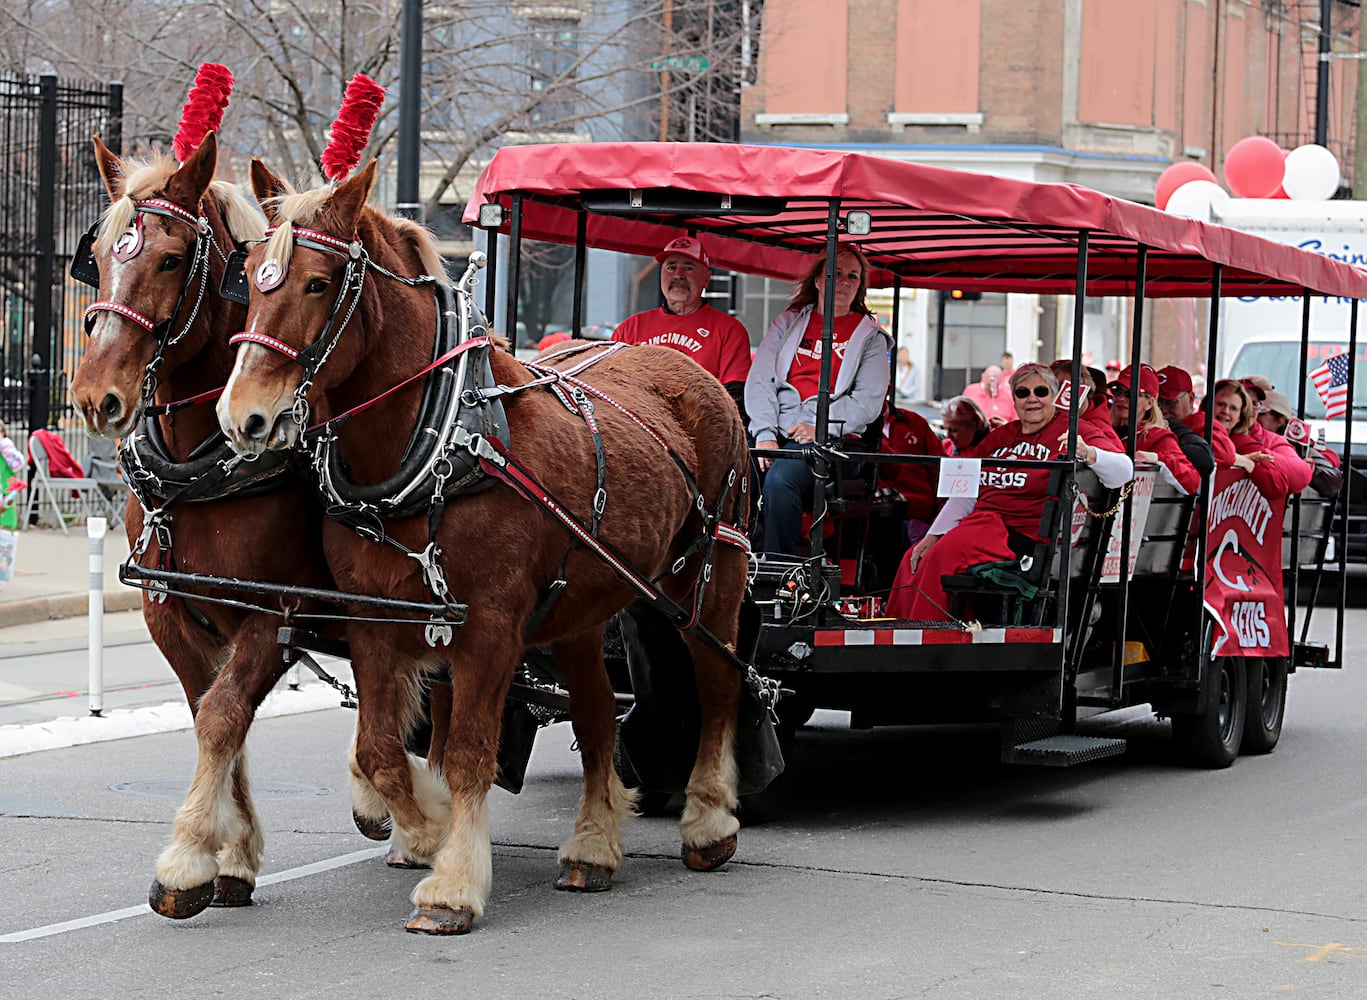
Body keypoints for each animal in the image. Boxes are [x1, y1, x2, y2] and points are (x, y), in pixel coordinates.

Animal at [67, 136, 341, 918]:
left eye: (168, 259)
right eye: (99, 256)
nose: (96, 397)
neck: (201, 466)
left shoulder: (279, 610)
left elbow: (223, 714)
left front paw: (188, 857)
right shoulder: (172, 607)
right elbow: (211, 710)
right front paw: (234, 854)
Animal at [214, 159, 754, 934]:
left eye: (317, 283)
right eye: (250, 278)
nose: (242, 418)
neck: (442, 438)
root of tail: (690, 371)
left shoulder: (492, 626)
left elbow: (471, 751)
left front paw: (453, 883)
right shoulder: (375, 617)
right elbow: (379, 749)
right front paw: (424, 829)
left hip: (712, 575)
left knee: (717, 685)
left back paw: (709, 820)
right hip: (580, 606)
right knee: (598, 715)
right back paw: (592, 846)